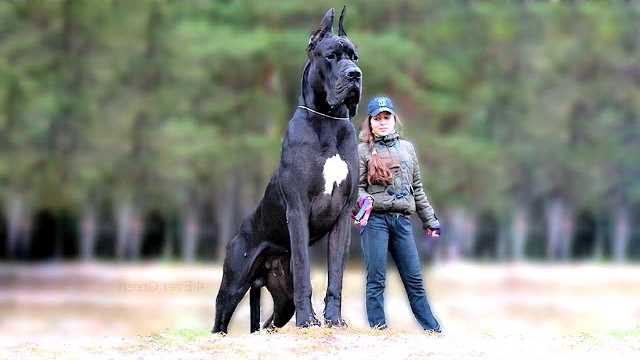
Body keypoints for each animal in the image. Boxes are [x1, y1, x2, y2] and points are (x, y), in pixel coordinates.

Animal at [214, 7, 360, 334]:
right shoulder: (298, 208)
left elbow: (336, 275)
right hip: (233, 283)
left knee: (269, 322)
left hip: (282, 300)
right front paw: (308, 321)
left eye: (354, 57)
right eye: (331, 56)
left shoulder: (343, 215)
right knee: (220, 320)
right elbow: (305, 270)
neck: (328, 121)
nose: (355, 75)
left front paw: (333, 320)